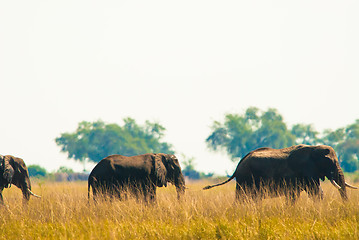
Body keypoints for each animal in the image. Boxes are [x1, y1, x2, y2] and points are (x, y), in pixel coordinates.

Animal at [204, 144, 358, 202]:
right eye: (332, 162)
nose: (345, 206)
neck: (314, 148)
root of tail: (238, 165)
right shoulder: (306, 171)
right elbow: (315, 192)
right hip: (246, 178)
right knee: (243, 198)